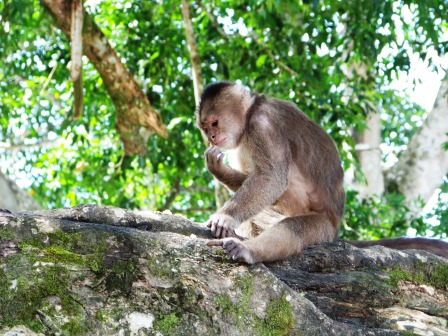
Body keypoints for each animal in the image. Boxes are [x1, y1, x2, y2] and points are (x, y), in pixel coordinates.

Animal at [196, 80, 448, 262]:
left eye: (215, 123)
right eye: (205, 127)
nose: (212, 136)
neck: (250, 115)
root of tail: (336, 230)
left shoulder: (263, 125)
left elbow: (272, 179)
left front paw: (226, 216)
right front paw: (220, 171)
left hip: (324, 227)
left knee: (293, 227)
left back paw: (246, 250)